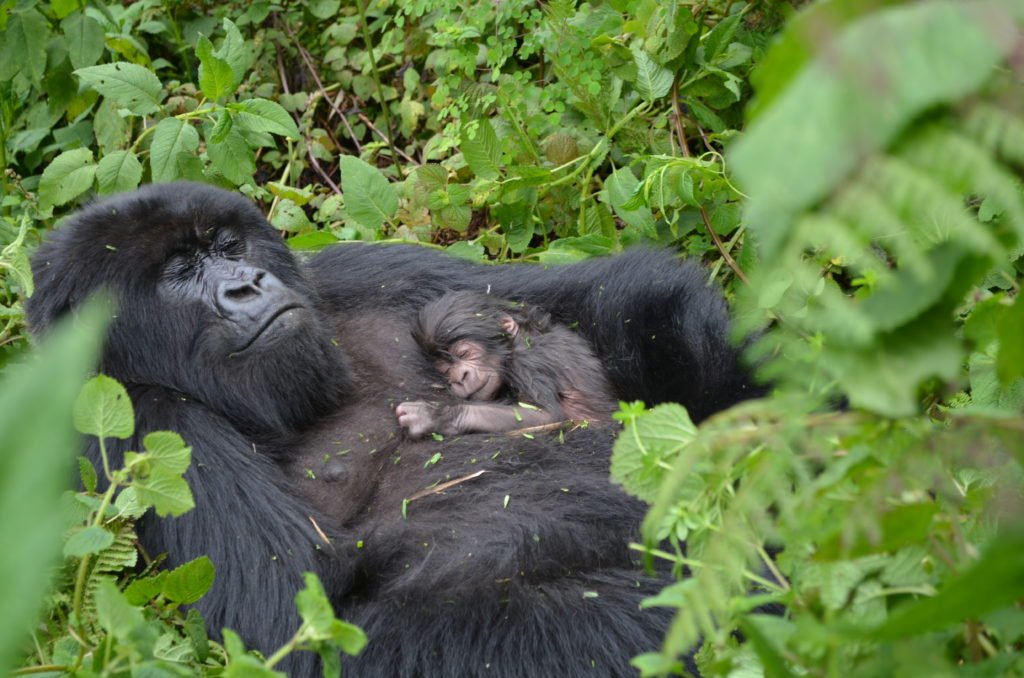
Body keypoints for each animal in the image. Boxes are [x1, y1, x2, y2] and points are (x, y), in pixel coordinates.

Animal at [393, 292, 614, 440]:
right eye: (446, 371)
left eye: (464, 353)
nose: (460, 377)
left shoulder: (527, 365)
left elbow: (546, 415)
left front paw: (435, 416)